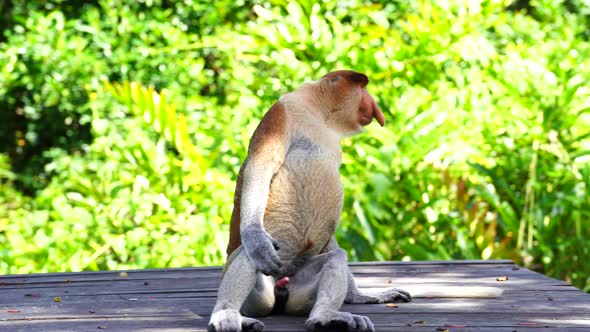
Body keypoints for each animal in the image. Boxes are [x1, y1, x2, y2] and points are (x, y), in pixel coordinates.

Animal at [209, 70, 504, 332]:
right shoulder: (282, 112)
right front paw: (255, 238)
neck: (320, 115)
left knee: (336, 257)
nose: (374, 105)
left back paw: (327, 318)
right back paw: (228, 315)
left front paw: (364, 295)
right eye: (363, 87)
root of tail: (282, 289)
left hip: (300, 286)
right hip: (263, 274)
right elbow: (260, 166)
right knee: (251, 257)